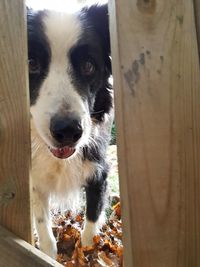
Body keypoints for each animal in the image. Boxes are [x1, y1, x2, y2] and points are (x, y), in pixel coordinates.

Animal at [27, 3, 112, 260]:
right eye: (31, 63)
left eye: (88, 66)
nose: (67, 131)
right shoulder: (35, 180)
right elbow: (44, 229)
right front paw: (48, 256)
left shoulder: (99, 170)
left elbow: (92, 224)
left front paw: (87, 251)